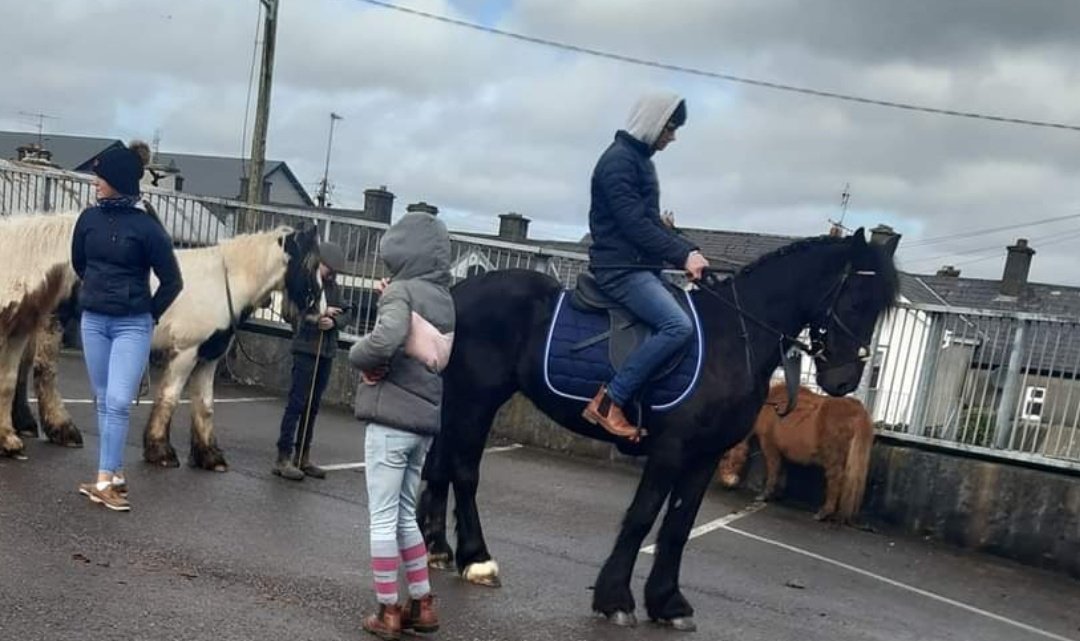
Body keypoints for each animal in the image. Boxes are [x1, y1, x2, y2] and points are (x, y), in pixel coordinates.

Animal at [4, 212, 321, 469]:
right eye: (310, 265)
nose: (320, 313)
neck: (223, 283)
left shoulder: (208, 358)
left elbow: (205, 405)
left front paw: (209, 456)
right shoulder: (186, 352)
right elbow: (169, 397)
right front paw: (161, 451)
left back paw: (25, 424)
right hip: (52, 322)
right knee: (44, 372)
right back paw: (61, 429)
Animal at [716, 384, 875, 524]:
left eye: (725, 456)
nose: (728, 482)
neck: (770, 406)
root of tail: (858, 409)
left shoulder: (770, 445)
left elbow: (773, 469)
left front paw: (765, 494)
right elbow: (782, 470)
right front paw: (778, 493)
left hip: (833, 459)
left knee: (836, 481)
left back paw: (825, 512)